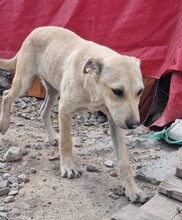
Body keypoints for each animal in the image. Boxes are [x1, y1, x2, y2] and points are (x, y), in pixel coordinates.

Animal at [0, 26, 147, 203]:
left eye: (140, 92)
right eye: (117, 91)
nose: (134, 125)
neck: (93, 87)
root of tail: (36, 30)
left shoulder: (116, 121)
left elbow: (124, 161)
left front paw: (132, 189)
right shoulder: (65, 109)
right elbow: (66, 142)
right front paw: (68, 167)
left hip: (53, 90)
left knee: (43, 111)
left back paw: (52, 136)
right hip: (24, 80)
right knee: (6, 95)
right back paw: (4, 125)